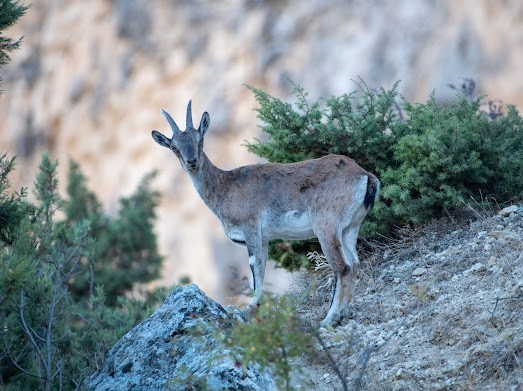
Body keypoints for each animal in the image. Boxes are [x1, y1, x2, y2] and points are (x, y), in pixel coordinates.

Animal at [151, 101, 380, 328]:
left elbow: (255, 266)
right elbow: (261, 265)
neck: (225, 187)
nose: (192, 162)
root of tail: (364, 175)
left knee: (342, 267)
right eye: (174, 147)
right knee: (354, 264)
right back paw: (344, 313)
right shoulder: (264, 238)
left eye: (200, 139)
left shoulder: (250, 228)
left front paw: (248, 309)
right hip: (350, 228)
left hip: (327, 226)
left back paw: (329, 318)